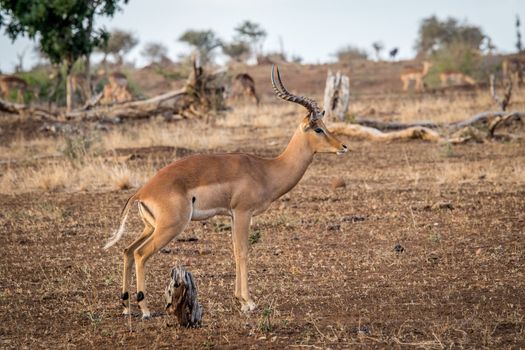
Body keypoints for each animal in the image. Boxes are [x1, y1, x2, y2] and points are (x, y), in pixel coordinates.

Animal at [103, 65, 348, 320]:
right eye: (318, 129)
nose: (343, 147)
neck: (267, 170)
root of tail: (141, 192)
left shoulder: (232, 215)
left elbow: (234, 251)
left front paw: (240, 300)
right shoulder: (243, 213)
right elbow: (242, 252)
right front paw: (248, 302)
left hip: (150, 227)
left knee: (127, 250)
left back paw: (125, 305)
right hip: (170, 228)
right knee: (141, 254)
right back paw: (145, 309)